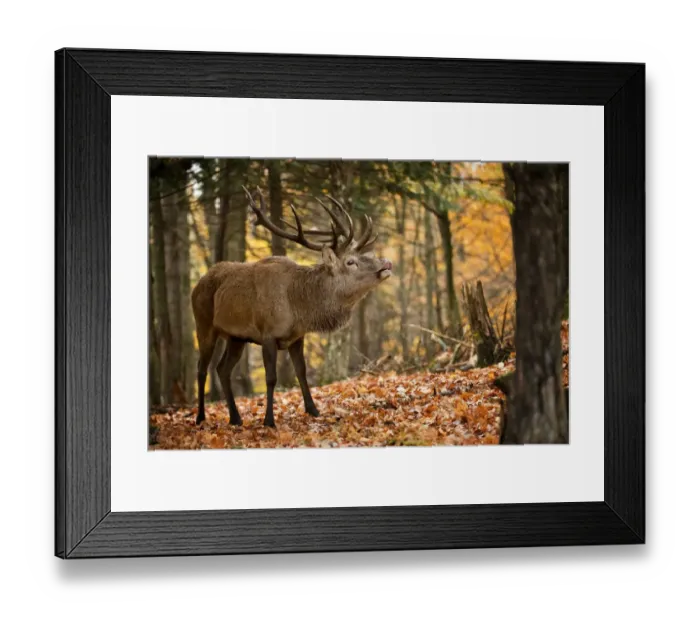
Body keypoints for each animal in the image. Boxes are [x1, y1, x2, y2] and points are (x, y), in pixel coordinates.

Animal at [191, 187, 393, 428]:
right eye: (350, 262)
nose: (387, 263)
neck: (299, 307)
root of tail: (196, 286)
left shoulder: (297, 336)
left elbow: (302, 372)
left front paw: (314, 410)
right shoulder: (267, 333)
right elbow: (271, 378)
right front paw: (269, 420)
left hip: (236, 337)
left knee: (222, 369)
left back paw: (235, 418)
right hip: (203, 324)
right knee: (201, 369)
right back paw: (200, 417)